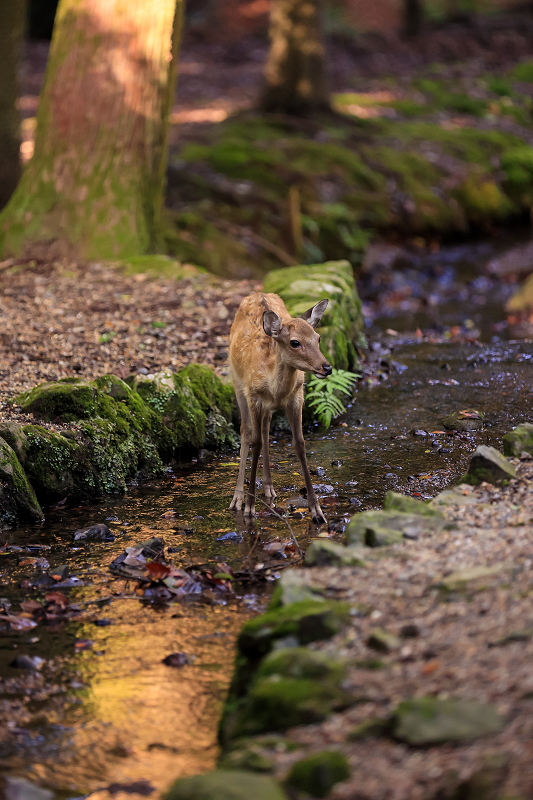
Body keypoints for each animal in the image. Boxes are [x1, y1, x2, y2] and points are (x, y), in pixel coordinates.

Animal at [228, 292, 330, 524]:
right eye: (295, 342)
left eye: (318, 338)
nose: (326, 367)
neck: (275, 390)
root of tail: (257, 293)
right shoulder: (253, 395)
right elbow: (255, 442)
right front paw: (249, 508)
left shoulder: (297, 396)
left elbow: (300, 443)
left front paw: (317, 510)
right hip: (236, 381)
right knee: (246, 432)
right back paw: (237, 499)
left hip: (266, 407)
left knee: (266, 428)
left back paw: (269, 488)